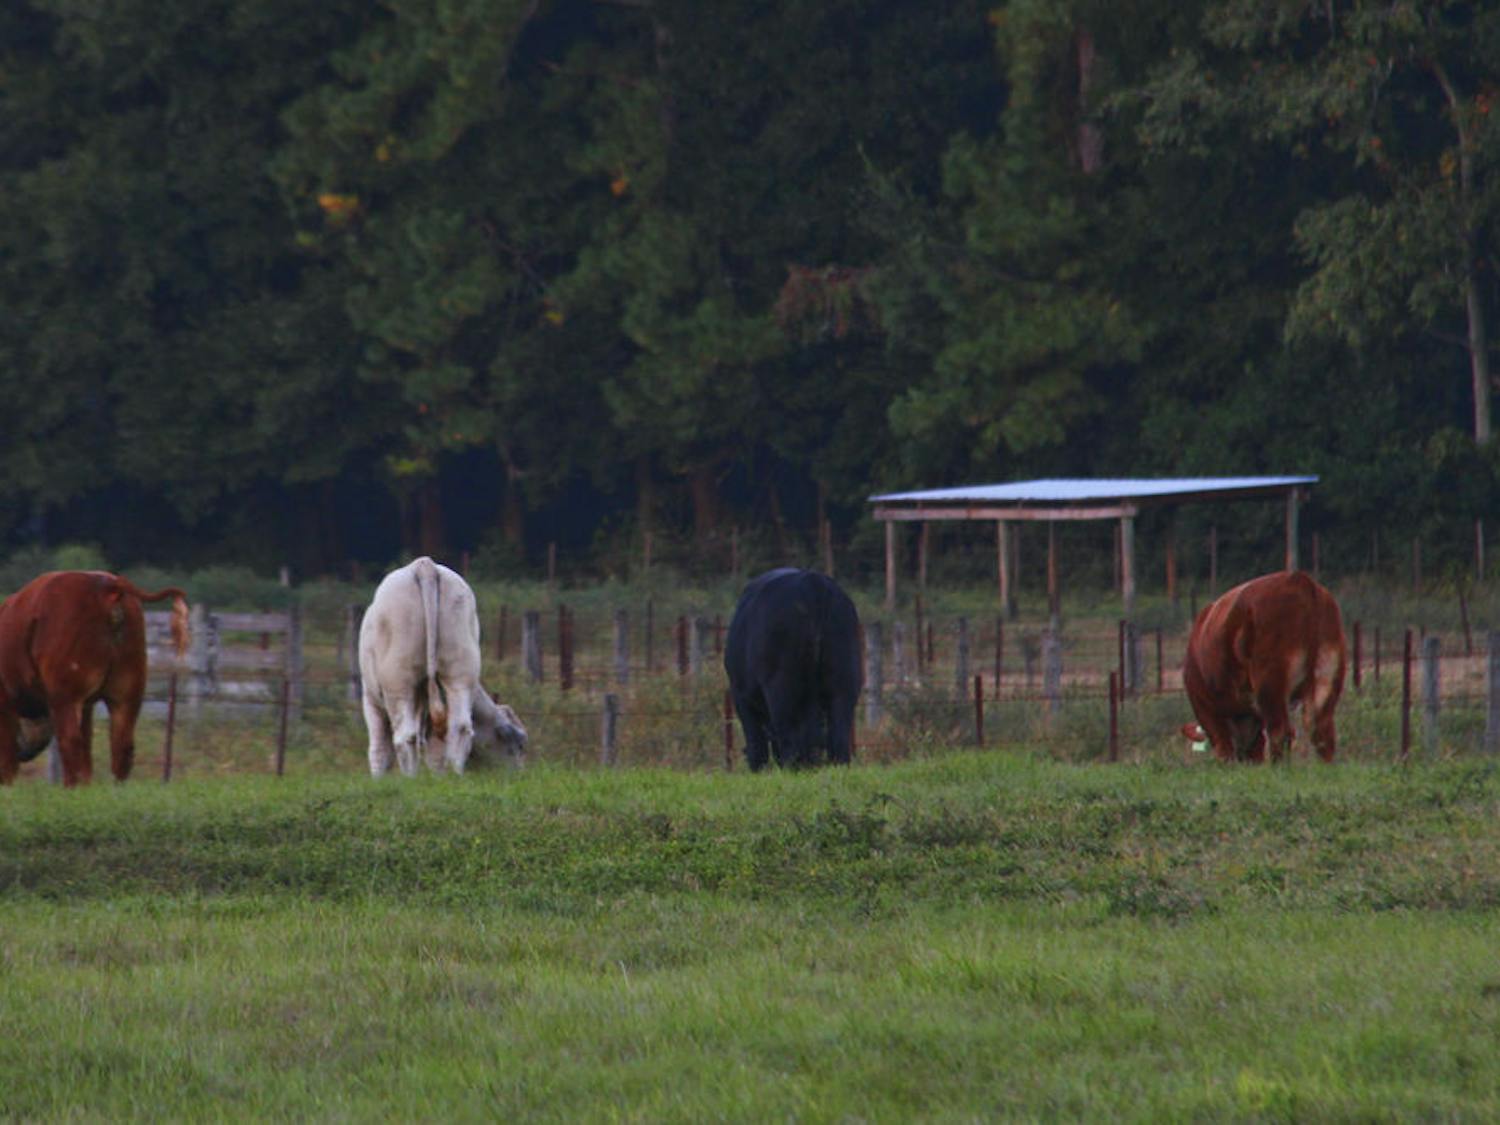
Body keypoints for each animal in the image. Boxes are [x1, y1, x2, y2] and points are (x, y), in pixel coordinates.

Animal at [0, 570, 189, 787]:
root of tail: (109, 585)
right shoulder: (88, 705)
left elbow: (7, 756)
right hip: (128, 692)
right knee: (121, 745)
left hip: (65, 696)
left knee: (71, 741)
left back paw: (71, 788)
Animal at [358, 557, 527, 777]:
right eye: (517, 743)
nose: (520, 773)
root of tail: (424, 564)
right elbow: (435, 751)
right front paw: (439, 776)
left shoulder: (371, 699)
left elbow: (379, 749)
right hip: (460, 669)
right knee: (459, 727)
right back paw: (454, 775)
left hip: (398, 681)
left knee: (405, 736)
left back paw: (409, 778)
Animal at [724, 568, 862, 771]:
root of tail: (812, 581)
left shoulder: (741, 696)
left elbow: (757, 745)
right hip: (845, 681)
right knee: (839, 739)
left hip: (780, 687)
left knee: (789, 740)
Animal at [1180, 570, 1347, 763]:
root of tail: (1299, 580)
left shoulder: (1206, 709)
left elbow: (1224, 748)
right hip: (1326, 677)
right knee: (1321, 732)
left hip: (1270, 683)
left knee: (1280, 731)